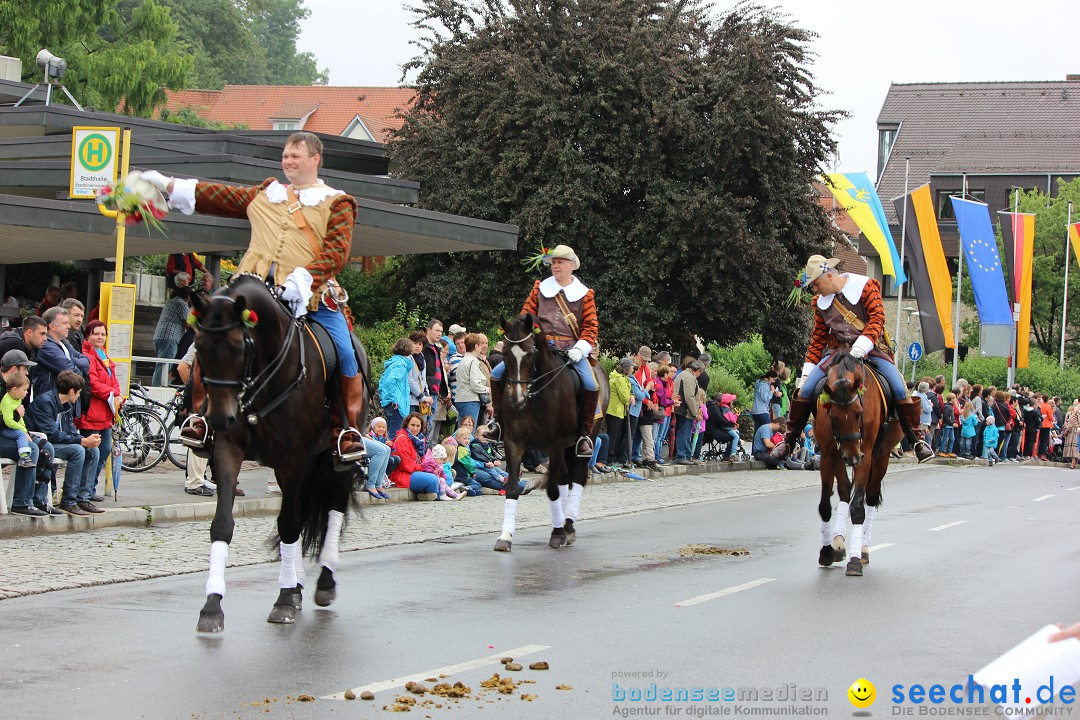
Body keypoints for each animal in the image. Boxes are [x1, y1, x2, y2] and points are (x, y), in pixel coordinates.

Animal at [189, 274, 367, 630]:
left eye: (237, 347)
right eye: (199, 347)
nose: (219, 418)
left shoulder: (293, 460)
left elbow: (289, 524)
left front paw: (284, 600)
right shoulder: (229, 451)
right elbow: (223, 524)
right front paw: (212, 605)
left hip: (335, 461)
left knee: (333, 507)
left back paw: (324, 583)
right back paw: (297, 584)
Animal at [494, 313, 613, 552]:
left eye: (530, 353)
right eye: (505, 354)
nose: (517, 399)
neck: (535, 397)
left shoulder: (555, 444)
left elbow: (552, 490)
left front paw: (557, 534)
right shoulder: (513, 443)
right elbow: (512, 488)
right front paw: (505, 536)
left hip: (585, 438)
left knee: (576, 477)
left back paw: (567, 527)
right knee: (565, 477)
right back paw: (565, 525)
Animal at [812, 349, 907, 574]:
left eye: (859, 413)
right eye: (833, 415)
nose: (853, 457)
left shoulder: (867, 453)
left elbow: (858, 509)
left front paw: (854, 560)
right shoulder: (828, 454)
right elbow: (825, 506)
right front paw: (826, 552)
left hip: (880, 456)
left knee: (870, 496)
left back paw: (862, 549)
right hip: (841, 457)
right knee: (845, 490)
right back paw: (838, 543)